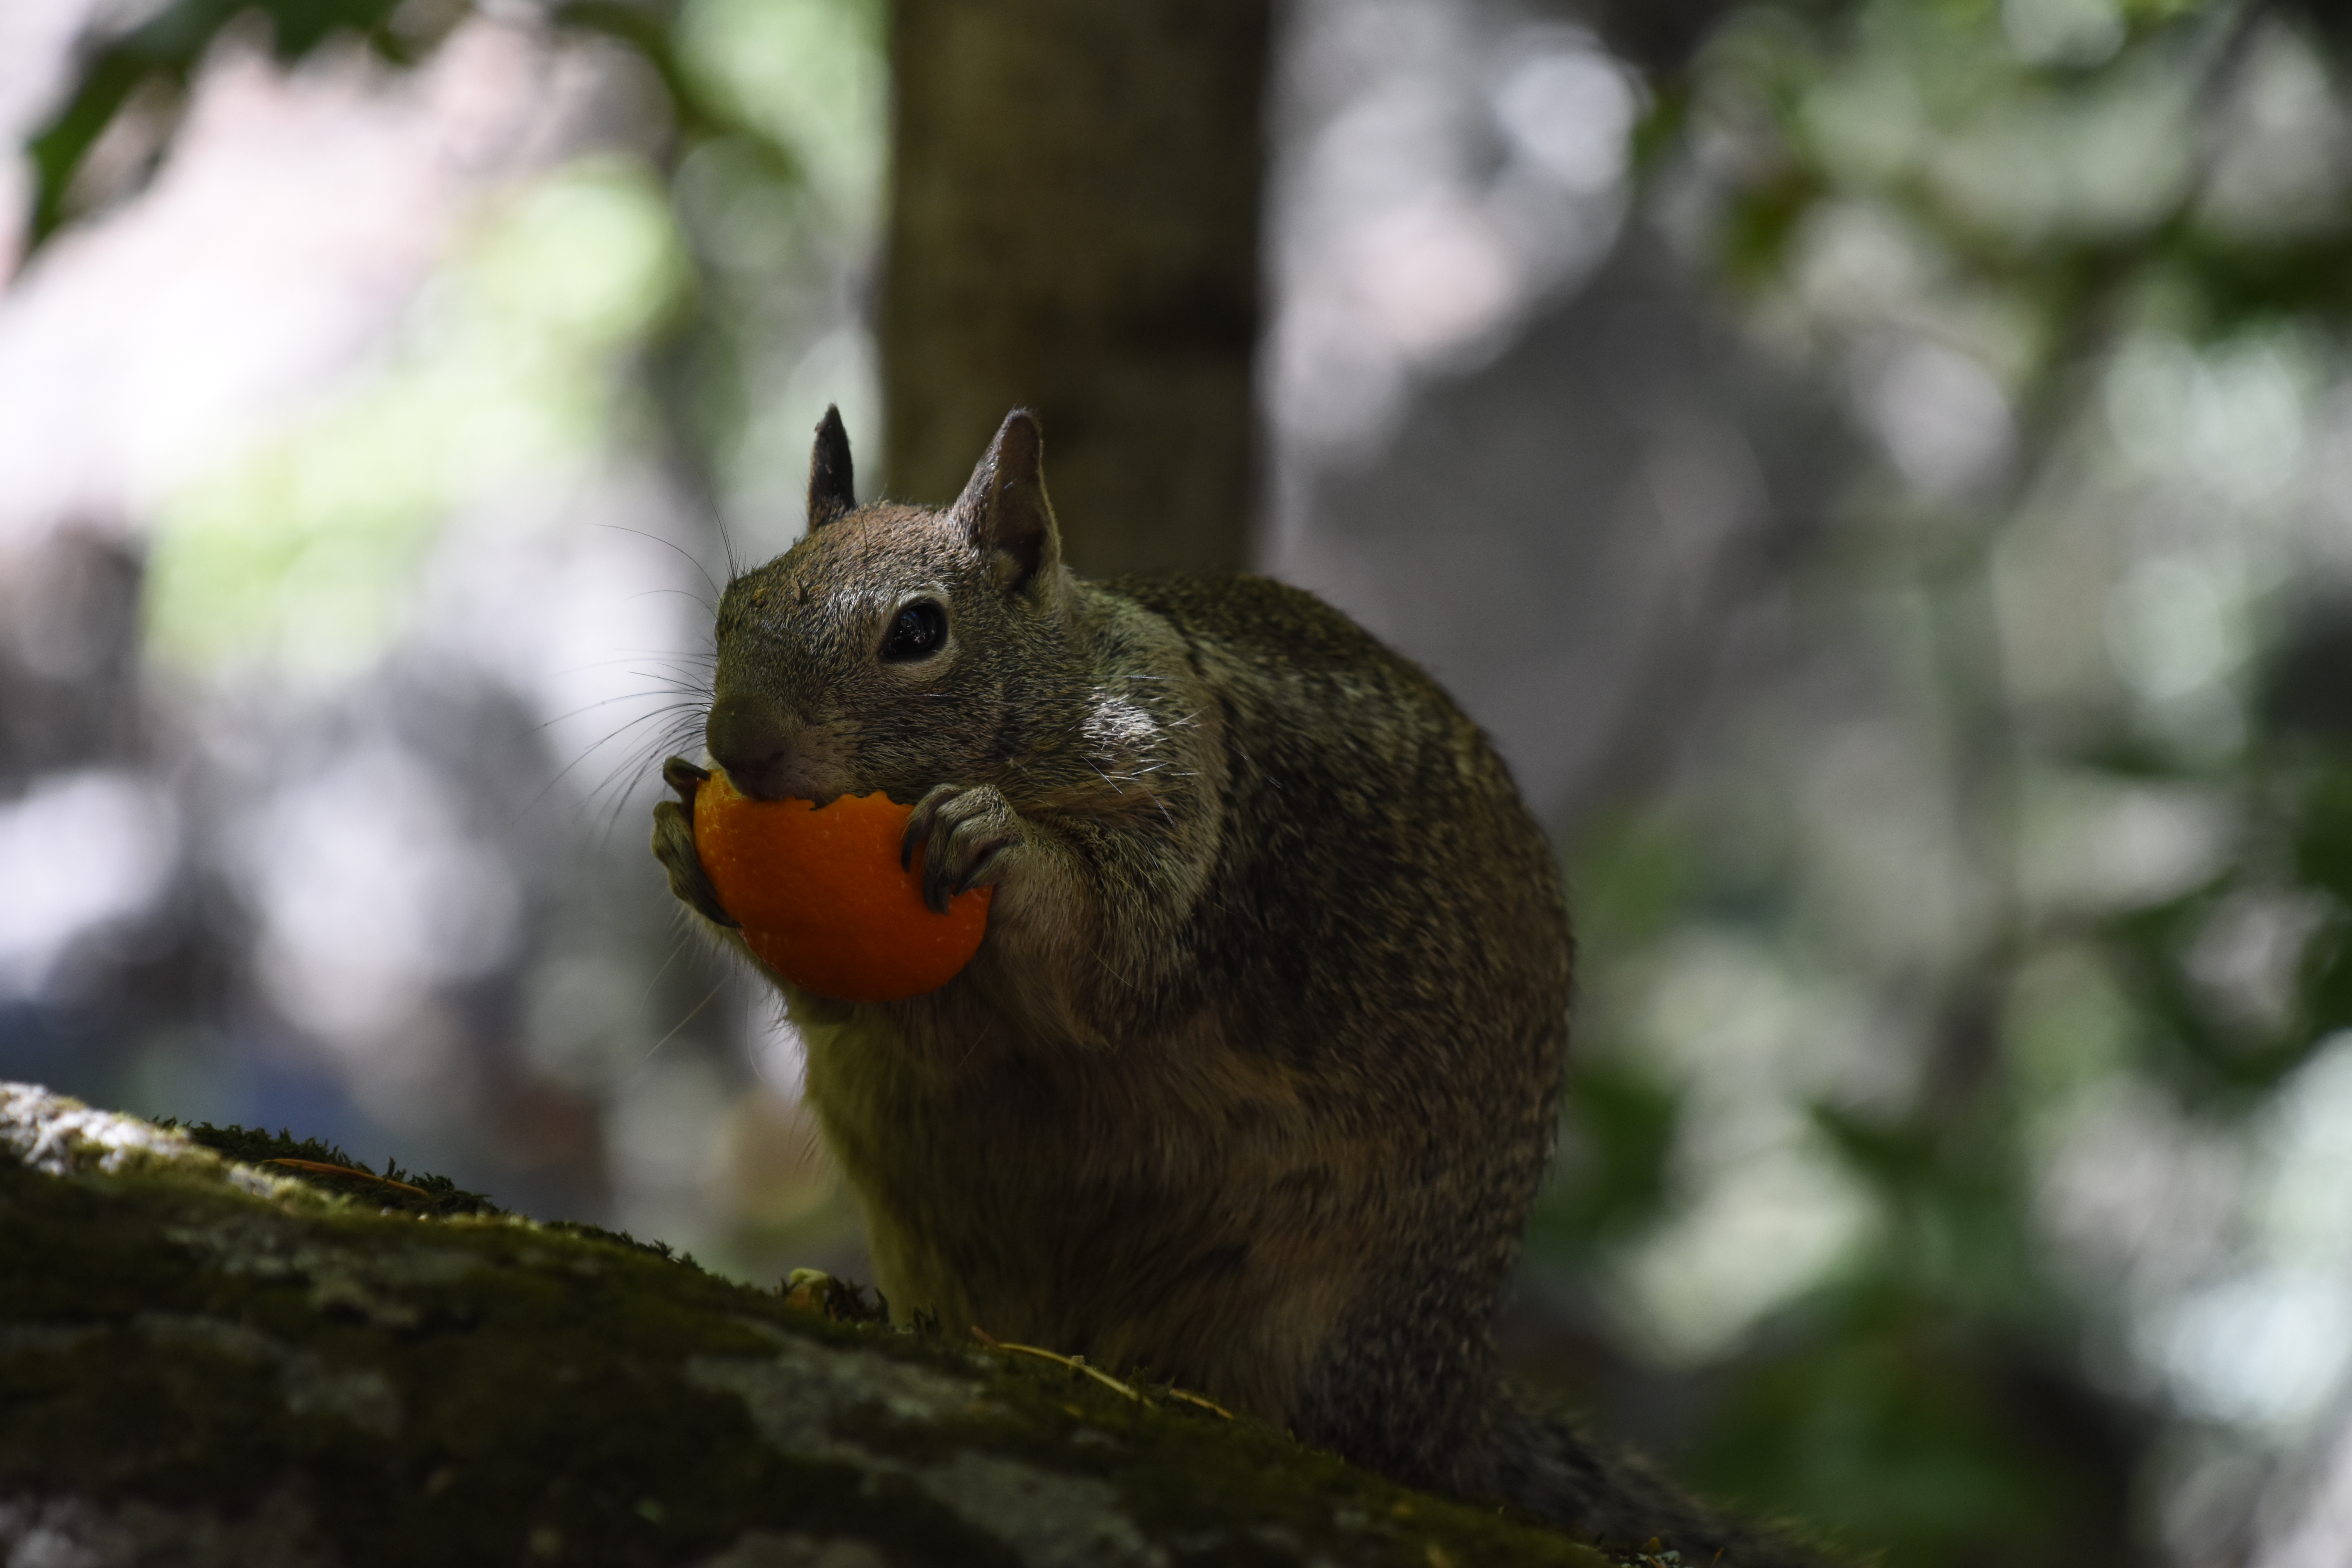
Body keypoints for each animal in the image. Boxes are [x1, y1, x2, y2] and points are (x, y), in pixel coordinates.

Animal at [654, 409, 1825, 1568]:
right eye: (734, 604)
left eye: (916, 633)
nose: (738, 745)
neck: (1054, 699)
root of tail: (1451, 1393)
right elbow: (851, 1007)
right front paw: (682, 842)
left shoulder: (1190, 814)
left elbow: (1106, 951)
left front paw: (1003, 843)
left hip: (1316, 1314)